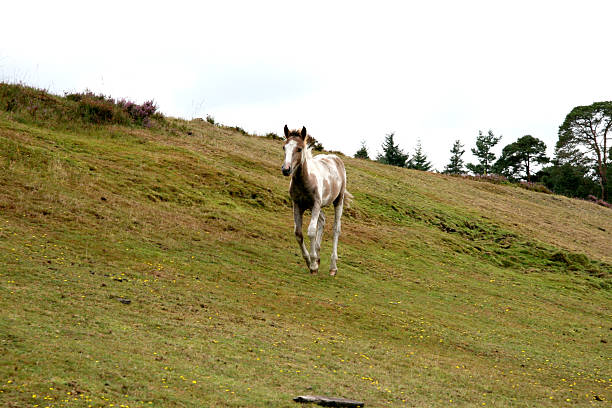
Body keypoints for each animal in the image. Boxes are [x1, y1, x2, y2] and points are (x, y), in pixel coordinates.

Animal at [280, 125, 352, 278]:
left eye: (299, 149)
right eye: (284, 147)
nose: (286, 169)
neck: (305, 180)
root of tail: (335, 158)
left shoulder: (315, 204)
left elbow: (311, 231)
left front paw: (313, 265)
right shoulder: (297, 205)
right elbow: (298, 233)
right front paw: (310, 261)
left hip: (338, 200)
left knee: (336, 229)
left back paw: (332, 267)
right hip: (318, 207)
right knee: (323, 220)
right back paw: (318, 257)